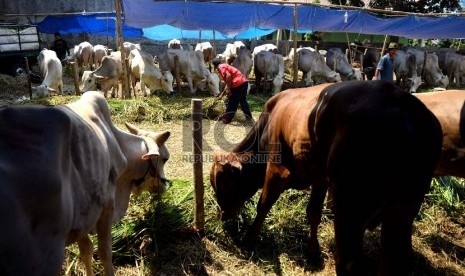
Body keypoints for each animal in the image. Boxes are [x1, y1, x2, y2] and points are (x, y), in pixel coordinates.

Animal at [0, 91, 169, 276]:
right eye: (165, 159)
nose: (165, 185)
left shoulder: (84, 212)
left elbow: (86, 250)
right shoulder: (107, 205)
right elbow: (104, 252)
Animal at [210, 80, 442, 276]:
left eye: (223, 184)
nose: (222, 216)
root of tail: (406, 107)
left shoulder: (276, 168)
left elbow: (264, 204)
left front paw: (249, 239)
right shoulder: (320, 178)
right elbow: (313, 212)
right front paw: (313, 252)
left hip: (351, 211)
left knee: (349, 263)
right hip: (403, 210)